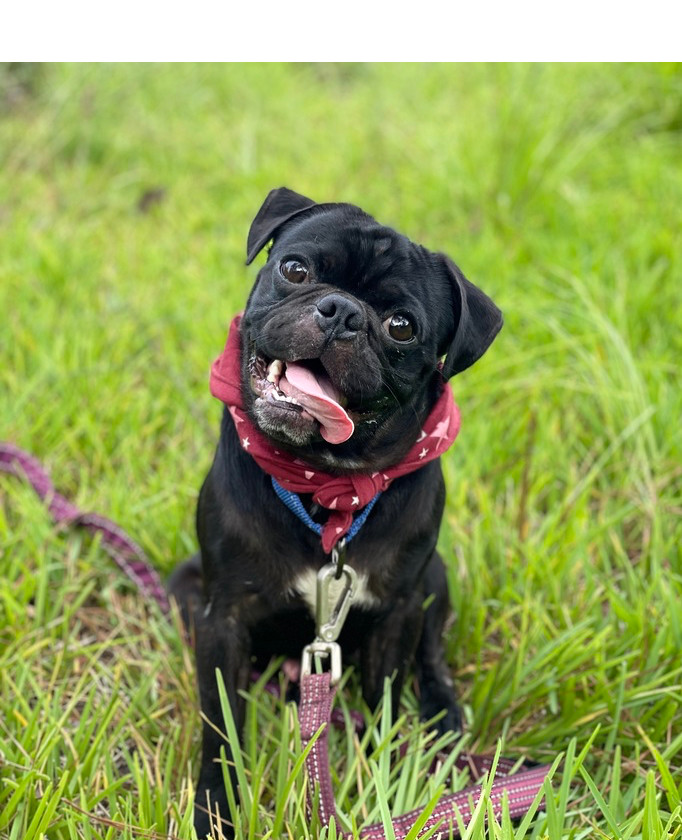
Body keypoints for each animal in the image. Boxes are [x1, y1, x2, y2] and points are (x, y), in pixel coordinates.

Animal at [168, 187, 502, 836]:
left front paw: (387, 786)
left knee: (432, 652)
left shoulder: (398, 609)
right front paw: (216, 809)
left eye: (400, 326)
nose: (342, 311)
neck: (325, 489)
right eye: (295, 269)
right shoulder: (223, 618)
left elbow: (385, 701)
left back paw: (442, 712)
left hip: (433, 580)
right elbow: (221, 725)